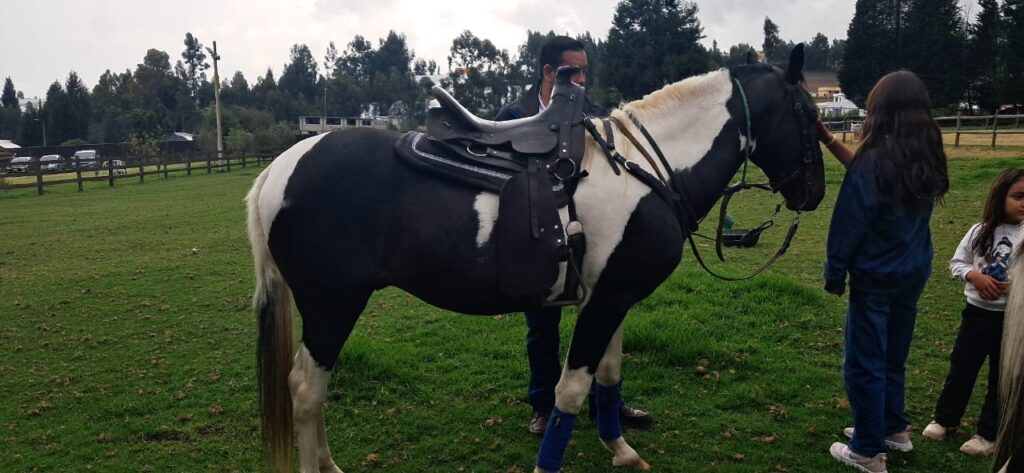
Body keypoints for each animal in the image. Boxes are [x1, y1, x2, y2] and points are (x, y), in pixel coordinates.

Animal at [246, 46, 825, 473]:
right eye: (811, 114)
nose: (815, 193)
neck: (644, 169)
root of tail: (278, 168)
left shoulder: (612, 297)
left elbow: (608, 375)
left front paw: (620, 449)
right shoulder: (605, 303)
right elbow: (570, 390)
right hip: (332, 305)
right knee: (306, 388)